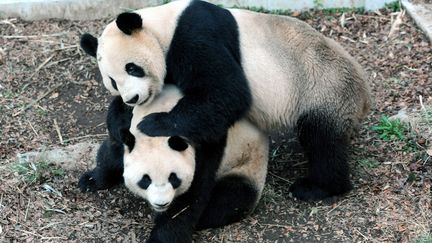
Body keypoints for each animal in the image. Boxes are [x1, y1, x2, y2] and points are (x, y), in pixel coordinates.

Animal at [82, 0, 372, 211]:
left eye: (132, 68)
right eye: (112, 81)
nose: (133, 98)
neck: (163, 26)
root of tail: (364, 94)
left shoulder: (195, 35)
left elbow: (227, 91)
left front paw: (153, 123)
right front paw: (117, 124)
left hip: (323, 90)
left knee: (321, 141)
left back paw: (317, 187)